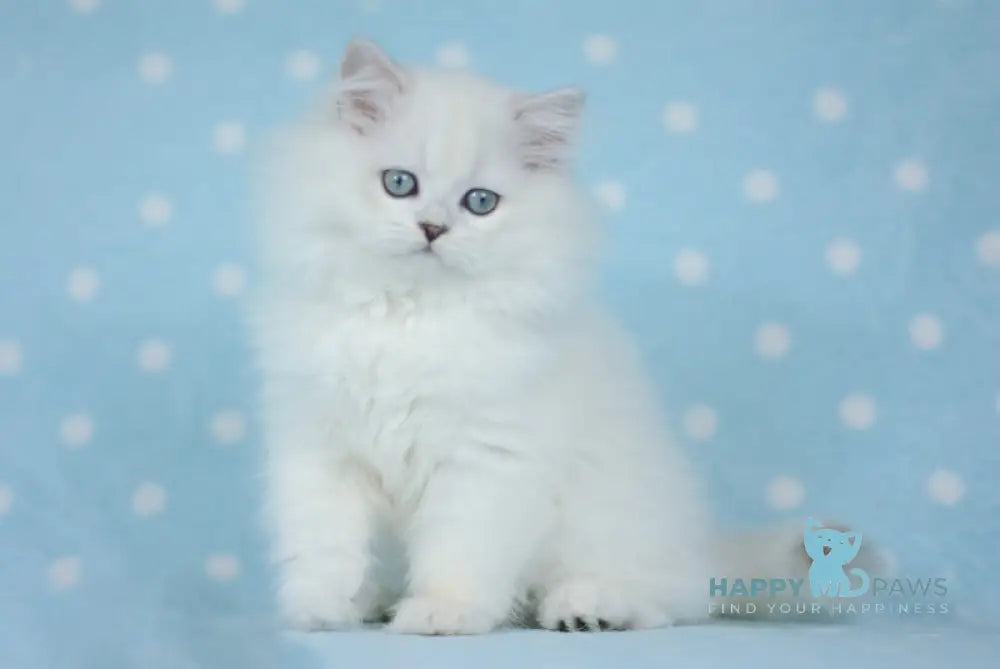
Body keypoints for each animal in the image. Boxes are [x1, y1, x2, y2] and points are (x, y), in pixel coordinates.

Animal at [256, 39, 788, 636]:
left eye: (480, 202)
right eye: (399, 183)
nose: (433, 229)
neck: (412, 317)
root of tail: (705, 552)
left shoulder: (486, 458)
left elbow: (458, 549)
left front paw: (443, 611)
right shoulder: (322, 449)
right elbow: (324, 544)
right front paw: (319, 607)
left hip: (615, 525)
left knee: (662, 599)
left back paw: (585, 608)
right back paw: (376, 600)